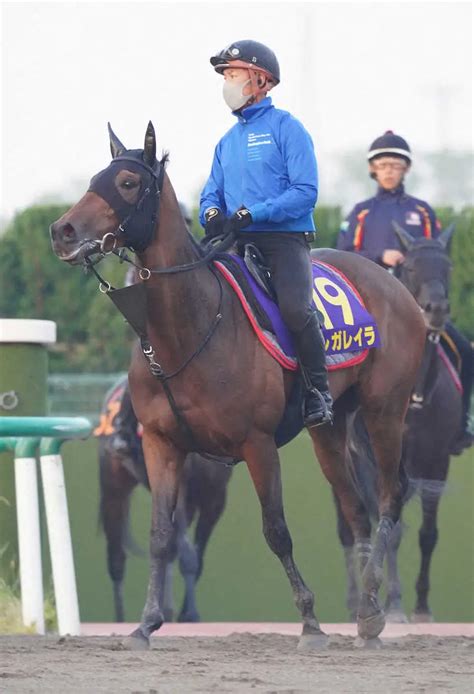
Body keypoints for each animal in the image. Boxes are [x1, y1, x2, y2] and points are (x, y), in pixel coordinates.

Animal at [96, 378, 231, 624]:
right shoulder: (182, 491)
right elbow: (187, 554)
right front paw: (190, 614)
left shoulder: (215, 497)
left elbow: (193, 555)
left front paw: (183, 612)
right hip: (113, 489)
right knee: (116, 558)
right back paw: (121, 619)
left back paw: (164, 610)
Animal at [334, 227, 462, 624]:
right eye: (410, 267)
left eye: (447, 266)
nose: (436, 309)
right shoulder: (370, 458)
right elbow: (385, 525)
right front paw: (391, 604)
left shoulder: (436, 461)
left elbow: (426, 533)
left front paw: (420, 605)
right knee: (347, 526)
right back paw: (352, 601)